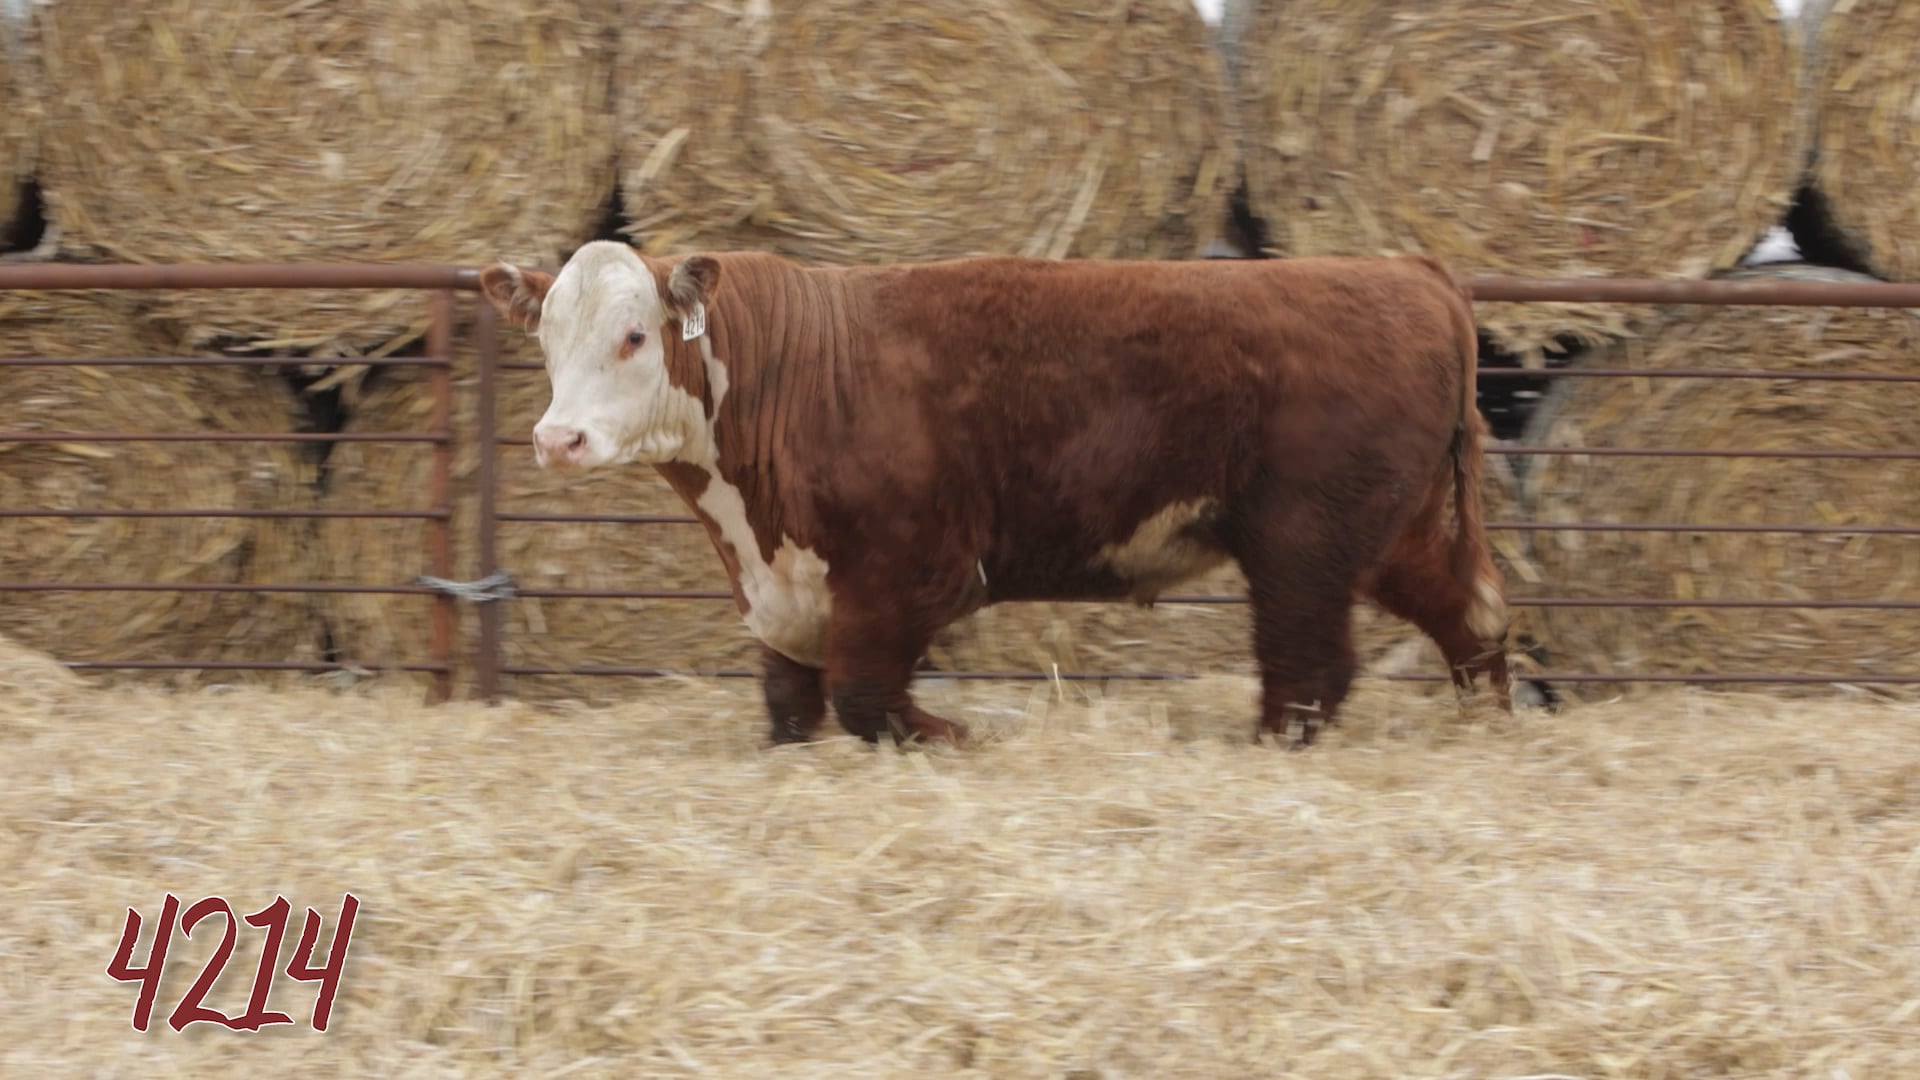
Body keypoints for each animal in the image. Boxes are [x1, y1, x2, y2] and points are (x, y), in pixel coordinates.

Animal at [478, 240, 1512, 749]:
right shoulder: (787, 596)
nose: (556, 439)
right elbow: (790, 709)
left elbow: (864, 696)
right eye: (547, 339)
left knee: (1308, 672)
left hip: (1301, 543)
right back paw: (1488, 725)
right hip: (1387, 533)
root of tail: (1410, 272)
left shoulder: (914, 571)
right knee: (1473, 613)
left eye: (634, 336)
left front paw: (969, 729)